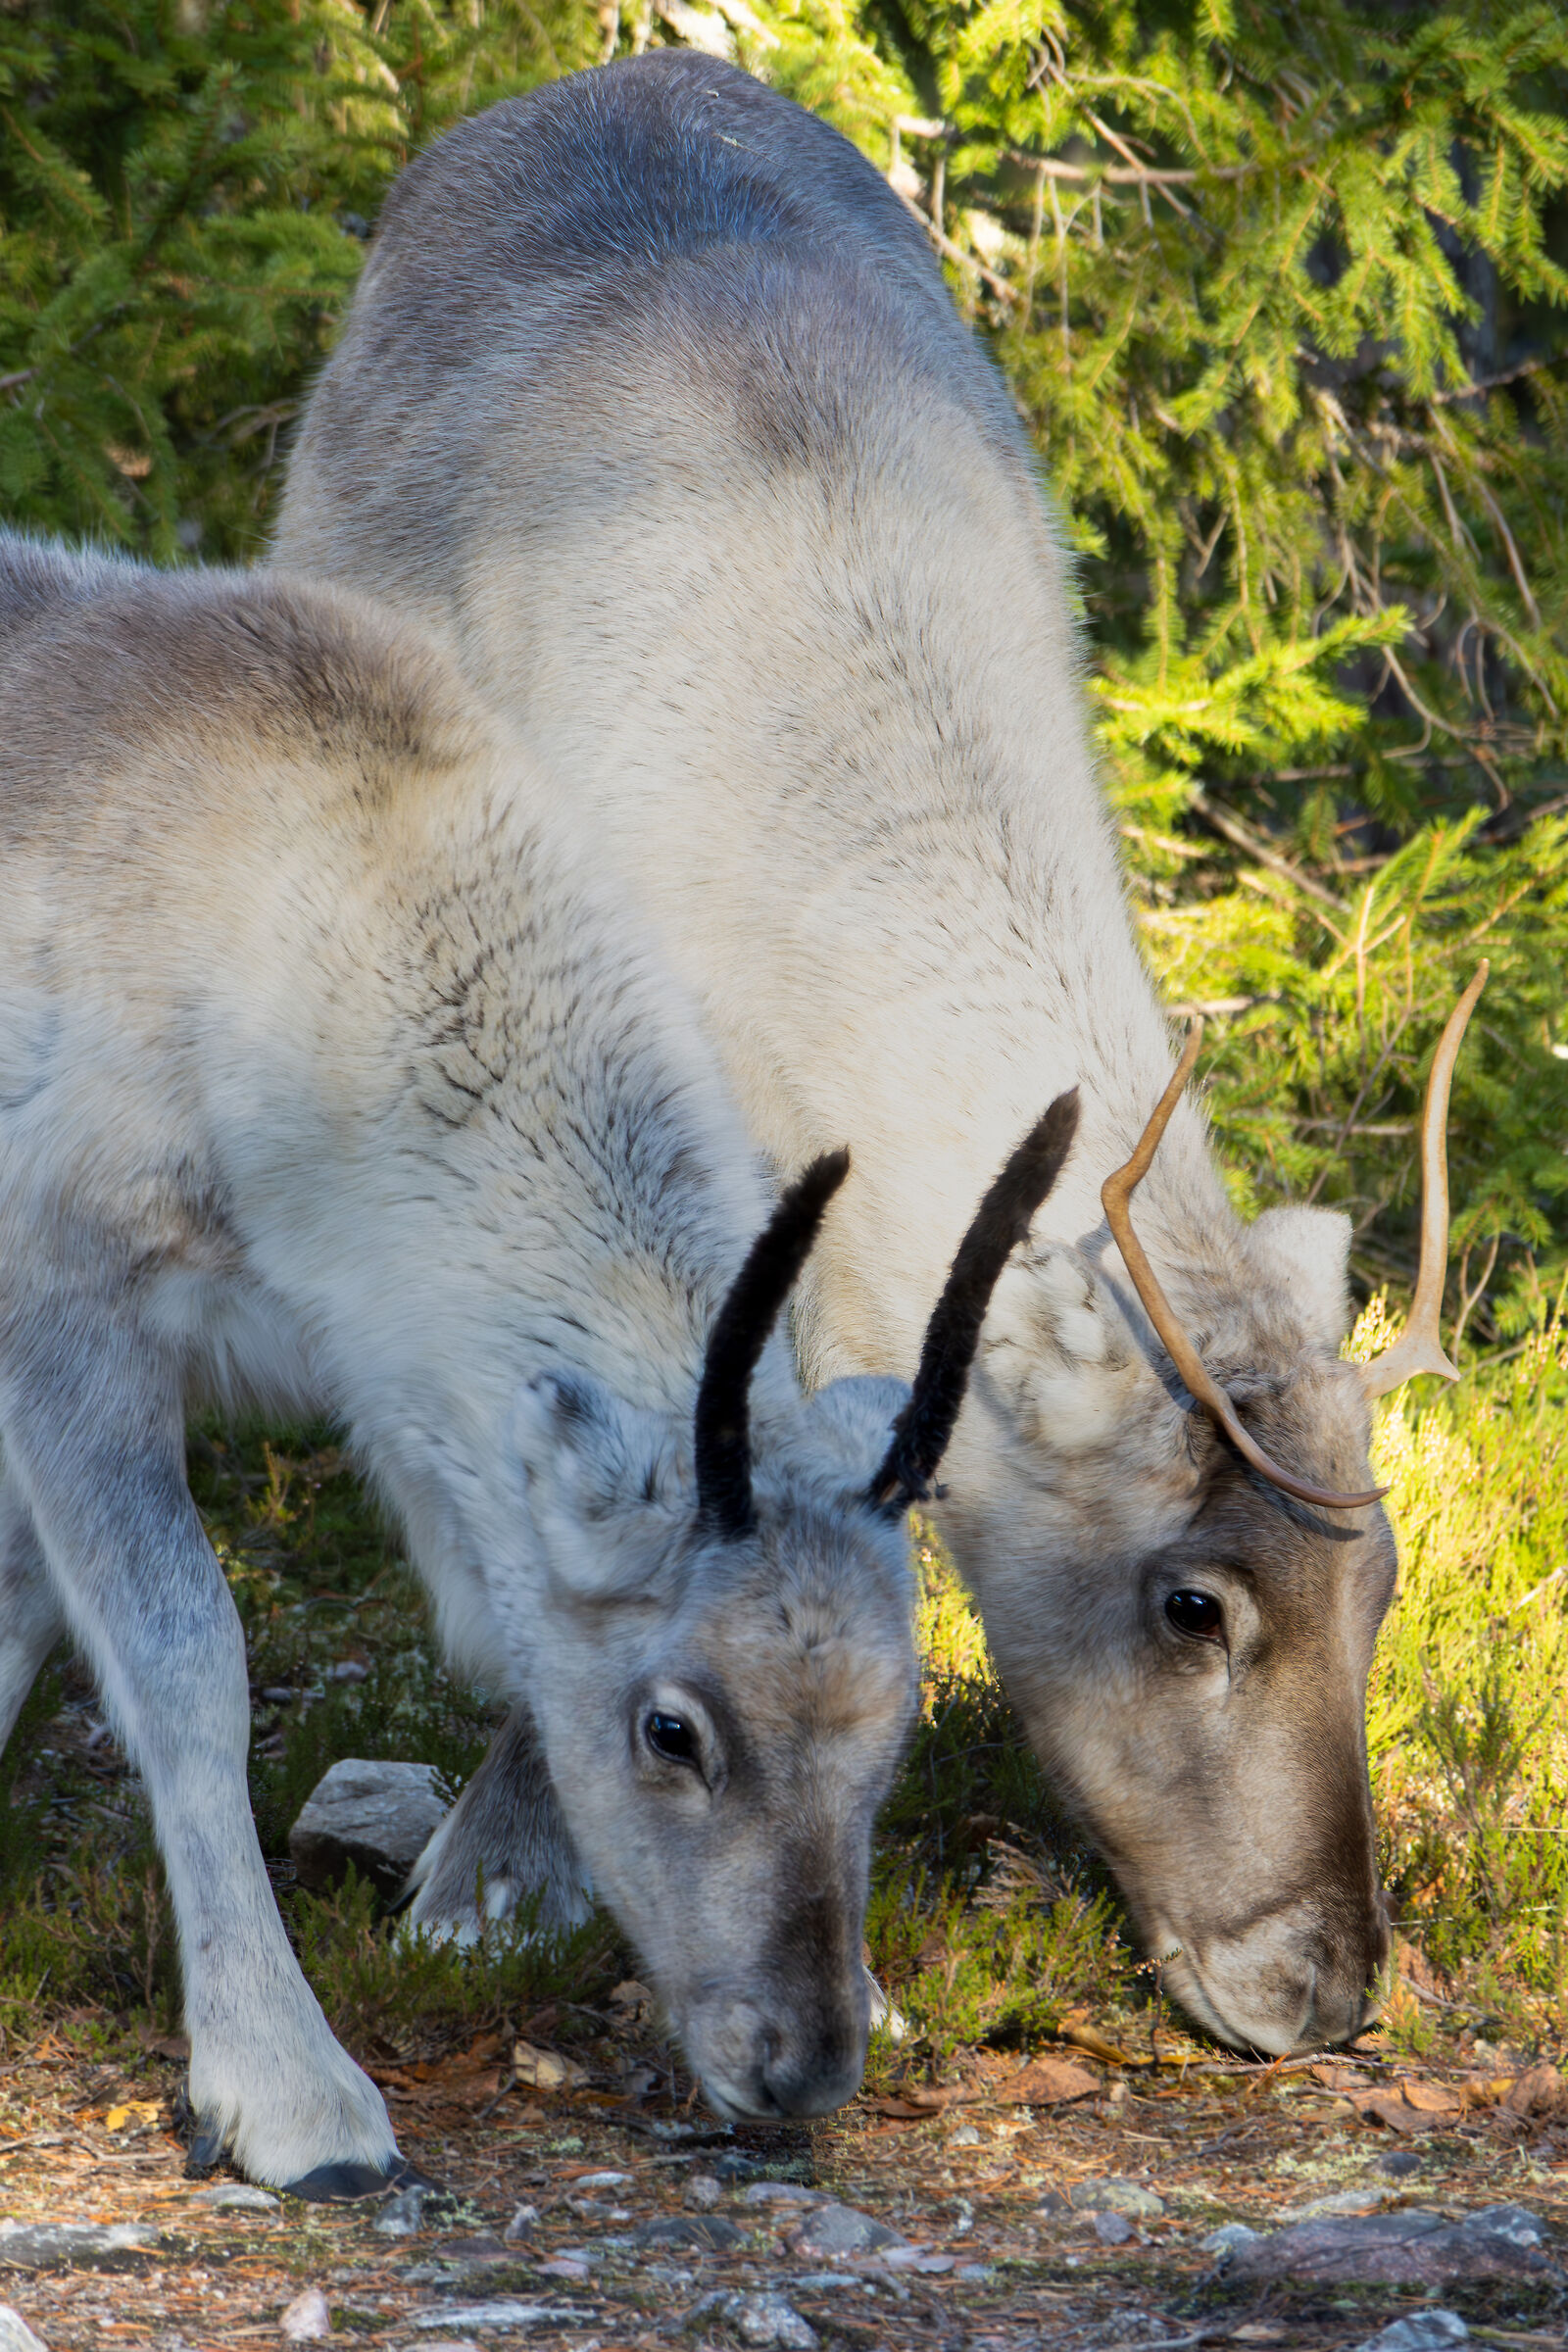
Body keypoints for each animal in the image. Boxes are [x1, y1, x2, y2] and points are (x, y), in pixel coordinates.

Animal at [0, 527, 1080, 2193]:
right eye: (672, 1728)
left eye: (893, 1719)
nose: (806, 2061)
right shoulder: (68, 1294)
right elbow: (182, 1653)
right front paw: (287, 2085)